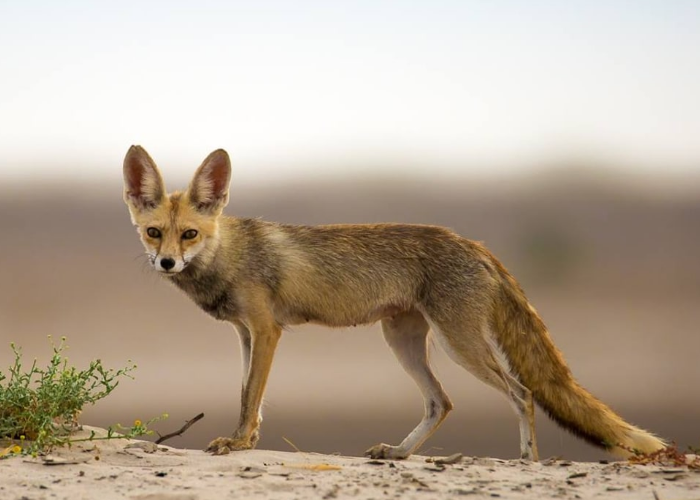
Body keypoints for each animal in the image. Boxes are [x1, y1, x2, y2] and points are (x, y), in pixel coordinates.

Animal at [122, 145, 667, 460]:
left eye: (189, 234)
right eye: (154, 233)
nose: (166, 263)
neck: (229, 254)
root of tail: (474, 243)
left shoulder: (267, 329)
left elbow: (250, 396)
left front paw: (237, 444)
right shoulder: (244, 333)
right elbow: (247, 397)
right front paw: (248, 440)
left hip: (459, 344)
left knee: (523, 394)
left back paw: (526, 464)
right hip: (402, 340)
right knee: (441, 401)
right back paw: (400, 454)